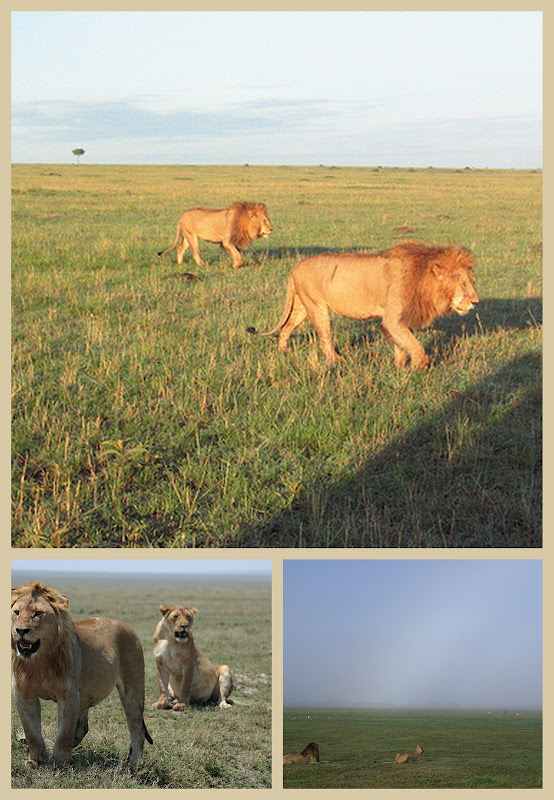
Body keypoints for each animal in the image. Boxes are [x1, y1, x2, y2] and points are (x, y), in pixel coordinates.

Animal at [11, 581, 152, 767]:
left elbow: (64, 731)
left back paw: (132, 763)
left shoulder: (69, 694)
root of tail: (126, 625)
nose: (21, 630)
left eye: (38, 613)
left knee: (137, 727)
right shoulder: (23, 693)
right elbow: (32, 731)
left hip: (133, 689)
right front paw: (37, 761)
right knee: (82, 727)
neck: (39, 662)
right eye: (16, 612)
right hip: (85, 696)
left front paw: (59, 762)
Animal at [247, 241, 478, 368]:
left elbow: (402, 345)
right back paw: (337, 361)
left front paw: (400, 366)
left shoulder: (400, 320)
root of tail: (295, 267)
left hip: (302, 306)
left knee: (286, 327)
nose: (476, 301)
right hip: (317, 307)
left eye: (471, 281)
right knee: (325, 338)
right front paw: (419, 367)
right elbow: (416, 346)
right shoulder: (393, 320)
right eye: (463, 284)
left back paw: (283, 351)